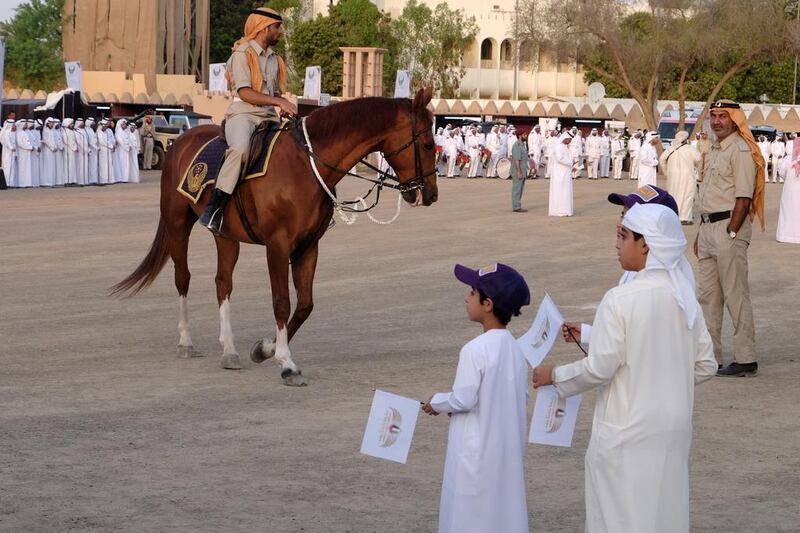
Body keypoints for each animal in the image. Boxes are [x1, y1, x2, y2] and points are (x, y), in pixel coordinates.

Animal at [112, 88, 438, 386]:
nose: (431, 194)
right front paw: (286, 363)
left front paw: (265, 349)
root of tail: (180, 140)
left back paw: (229, 350)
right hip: (178, 224)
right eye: (427, 143)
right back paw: (186, 341)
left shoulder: (308, 247)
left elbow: (305, 305)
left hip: (225, 235)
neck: (306, 165)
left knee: (223, 283)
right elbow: (282, 301)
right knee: (183, 278)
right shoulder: (278, 245)